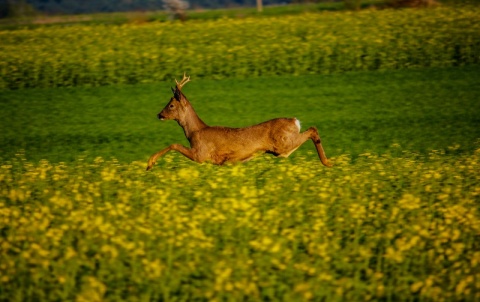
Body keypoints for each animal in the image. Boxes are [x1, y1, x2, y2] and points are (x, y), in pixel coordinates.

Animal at [146, 73, 332, 170]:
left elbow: (174, 144)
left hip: (283, 144)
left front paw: (150, 163)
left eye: (171, 105)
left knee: (312, 130)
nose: (159, 114)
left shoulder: (200, 154)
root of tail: (295, 121)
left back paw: (327, 162)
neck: (194, 132)